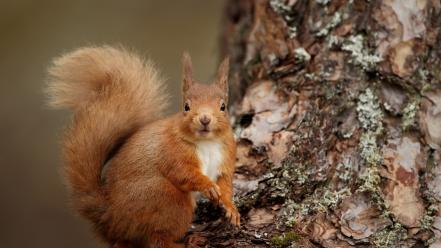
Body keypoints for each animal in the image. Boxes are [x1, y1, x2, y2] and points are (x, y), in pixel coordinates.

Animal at [46, 46, 239, 248]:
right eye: (186, 106)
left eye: (223, 106)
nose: (205, 119)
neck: (207, 142)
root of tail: (110, 219)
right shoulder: (171, 152)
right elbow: (183, 173)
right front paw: (208, 186)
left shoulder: (226, 156)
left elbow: (225, 184)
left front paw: (231, 208)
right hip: (167, 199)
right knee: (157, 239)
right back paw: (188, 242)